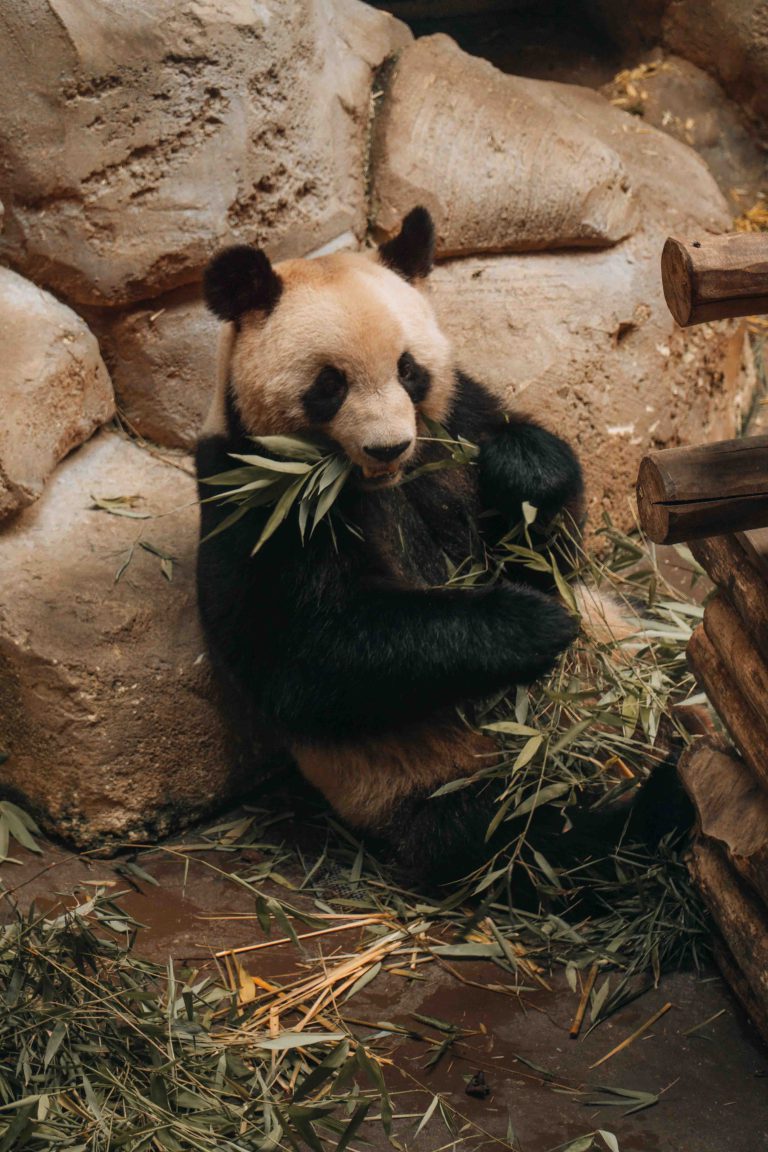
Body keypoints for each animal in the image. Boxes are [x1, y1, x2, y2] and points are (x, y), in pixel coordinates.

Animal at [196, 207, 612, 884]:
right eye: (329, 385)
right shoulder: (255, 499)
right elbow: (310, 654)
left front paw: (524, 469)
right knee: (526, 838)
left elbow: (554, 551)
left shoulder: (457, 420)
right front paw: (529, 625)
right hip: (429, 783)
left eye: (408, 370)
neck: (379, 484)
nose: (388, 447)